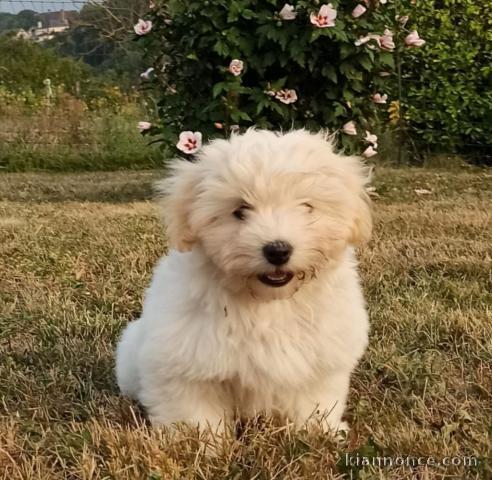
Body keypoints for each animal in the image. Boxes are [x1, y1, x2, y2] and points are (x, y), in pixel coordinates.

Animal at [115, 129, 370, 434]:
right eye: (240, 210)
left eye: (307, 207)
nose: (278, 250)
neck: (268, 301)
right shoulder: (184, 364)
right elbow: (193, 412)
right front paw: (202, 441)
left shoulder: (320, 358)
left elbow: (314, 401)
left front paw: (320, 431)